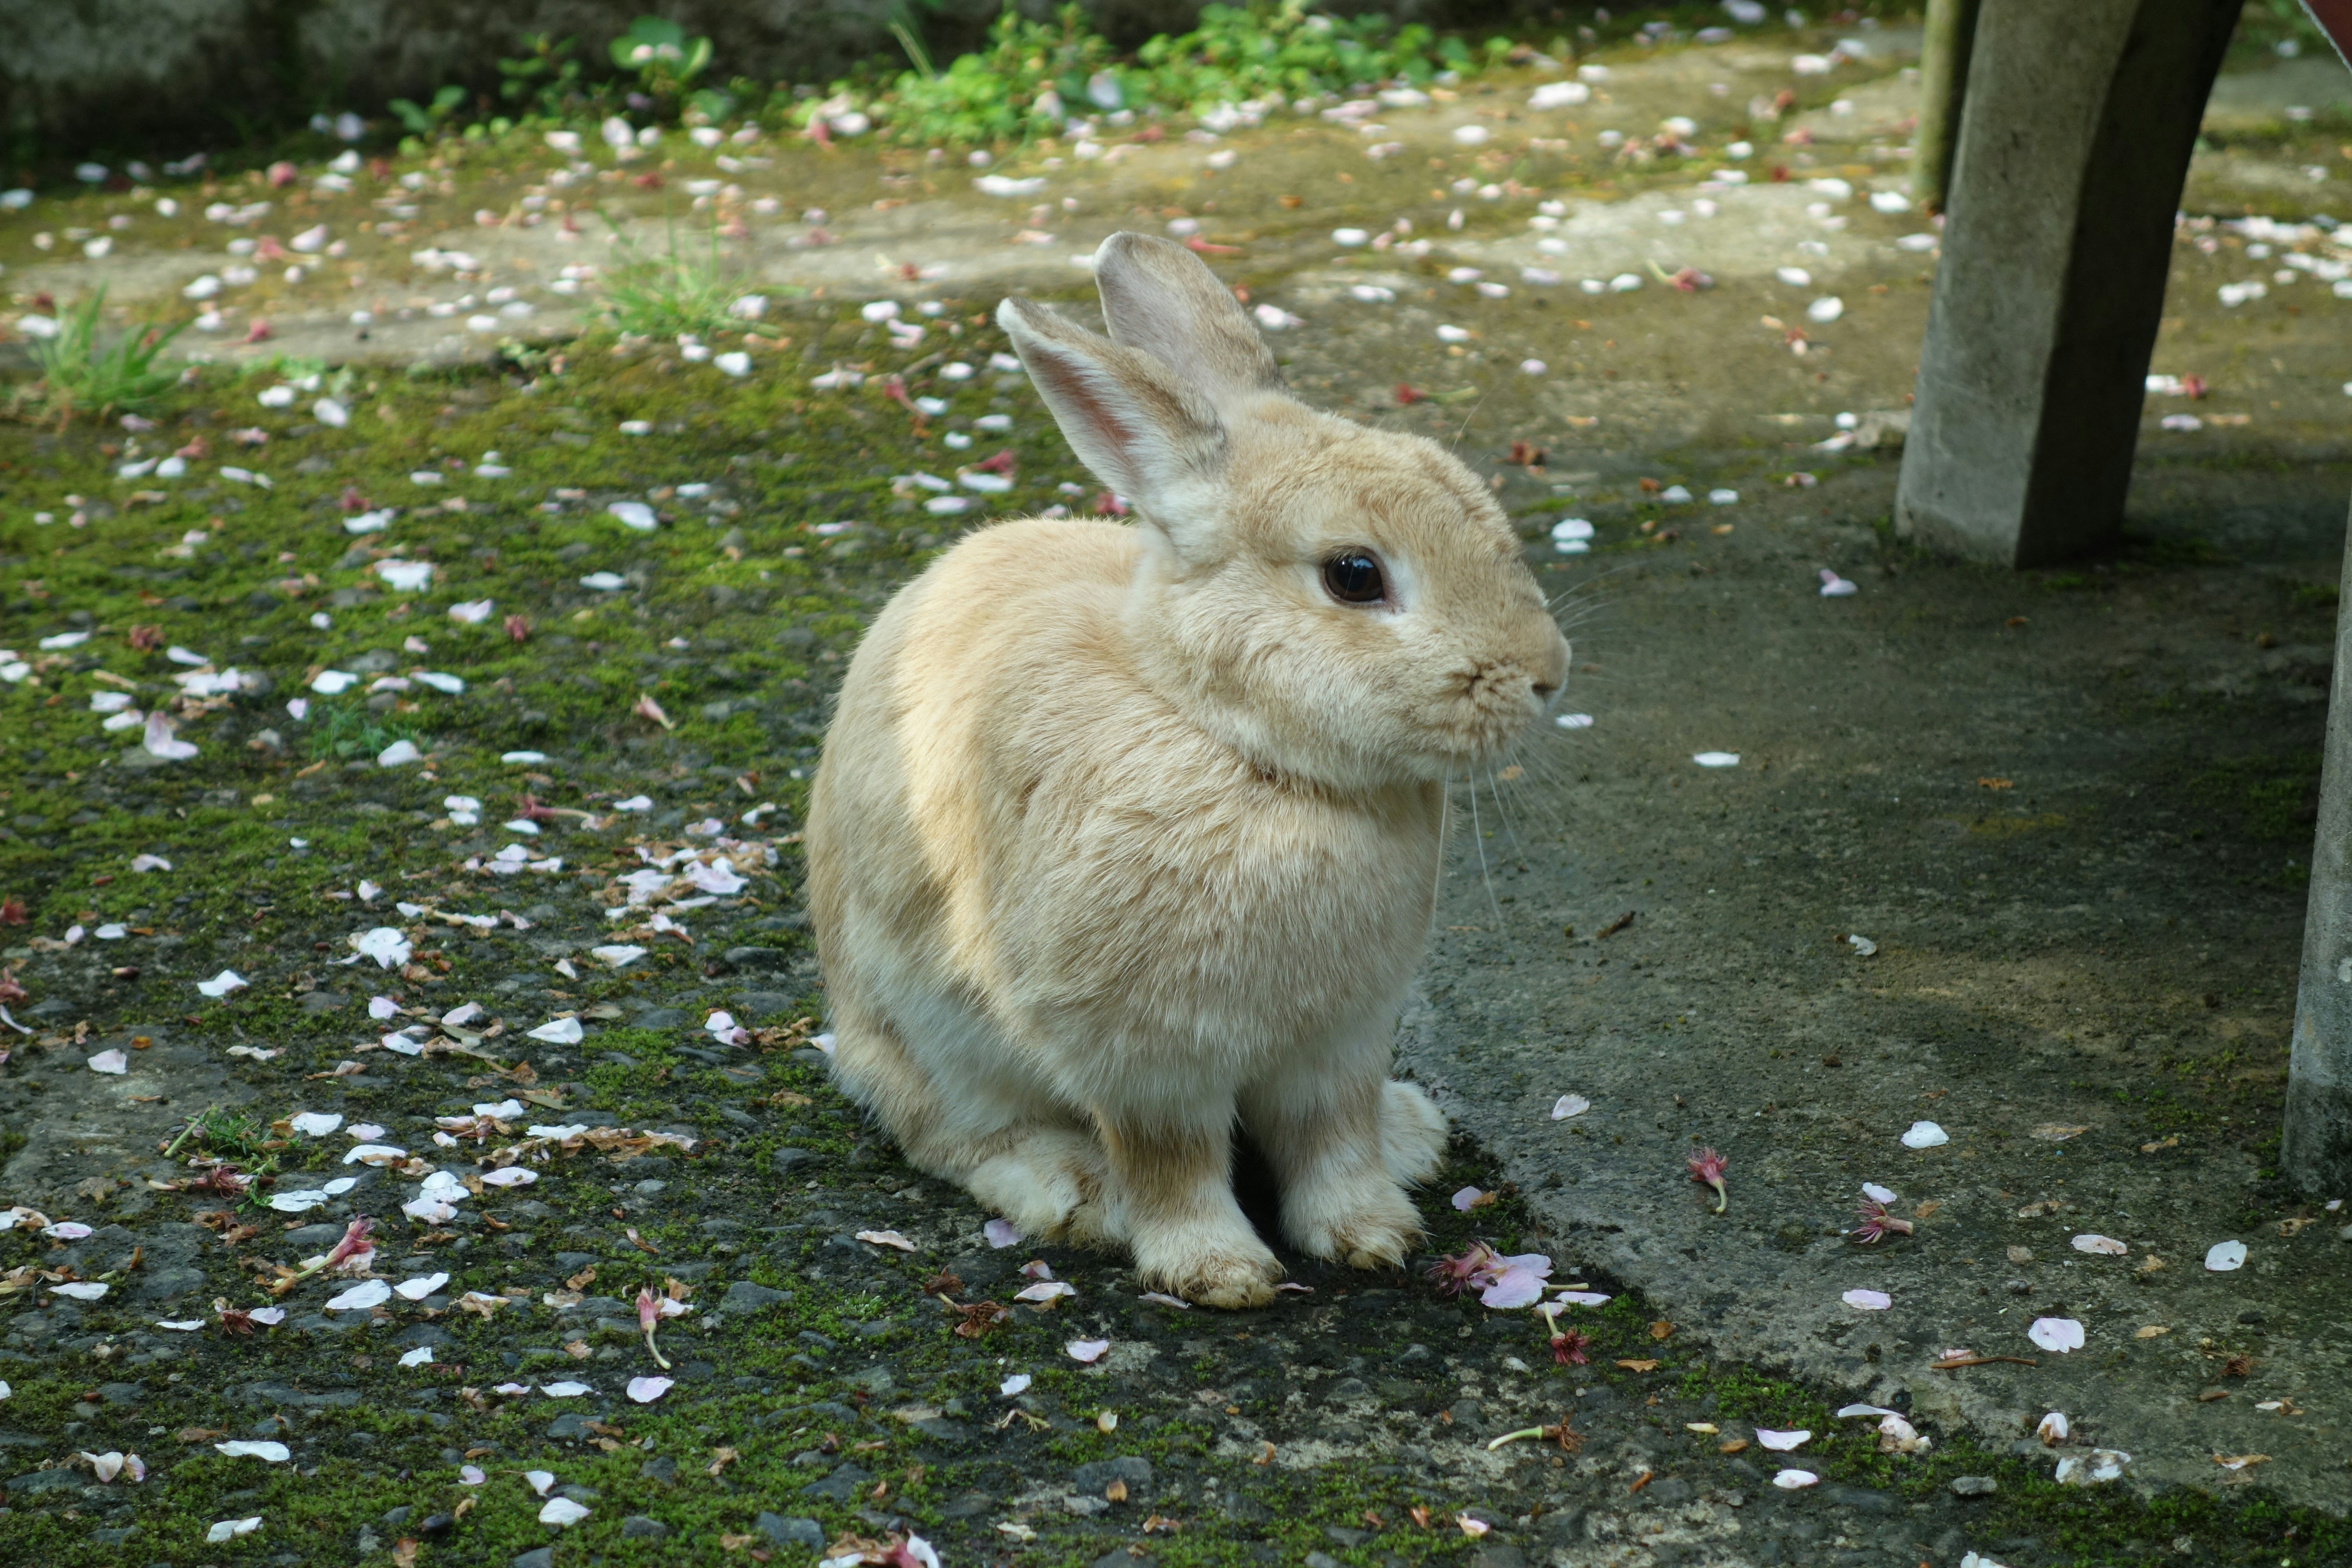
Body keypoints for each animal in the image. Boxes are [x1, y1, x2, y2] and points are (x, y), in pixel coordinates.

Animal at [806, 231, 1570, 1308]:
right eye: (1355, 575)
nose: (1547, 673)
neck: (1236, 743)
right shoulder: (1145, 1057)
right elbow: (1171, 1163)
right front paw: (1219, 1273)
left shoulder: (1342, 1042)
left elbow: (1332, 1142)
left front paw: (1373, 1235)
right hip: (932, 1035)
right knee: (948, 1132)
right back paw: (1067, 1189)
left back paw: (1411, 1135)